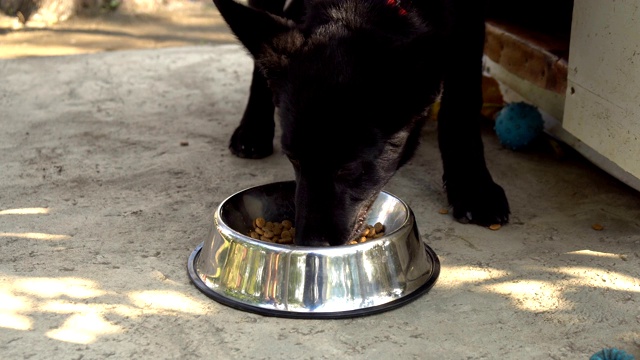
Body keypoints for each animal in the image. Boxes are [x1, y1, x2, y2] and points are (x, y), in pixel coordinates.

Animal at [214, 0, 510, 245]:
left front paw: (474, 188)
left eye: (350, 167)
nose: (310, 244)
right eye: (293, 158)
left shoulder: (467, 23)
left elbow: (463, 102)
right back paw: (252, 130)